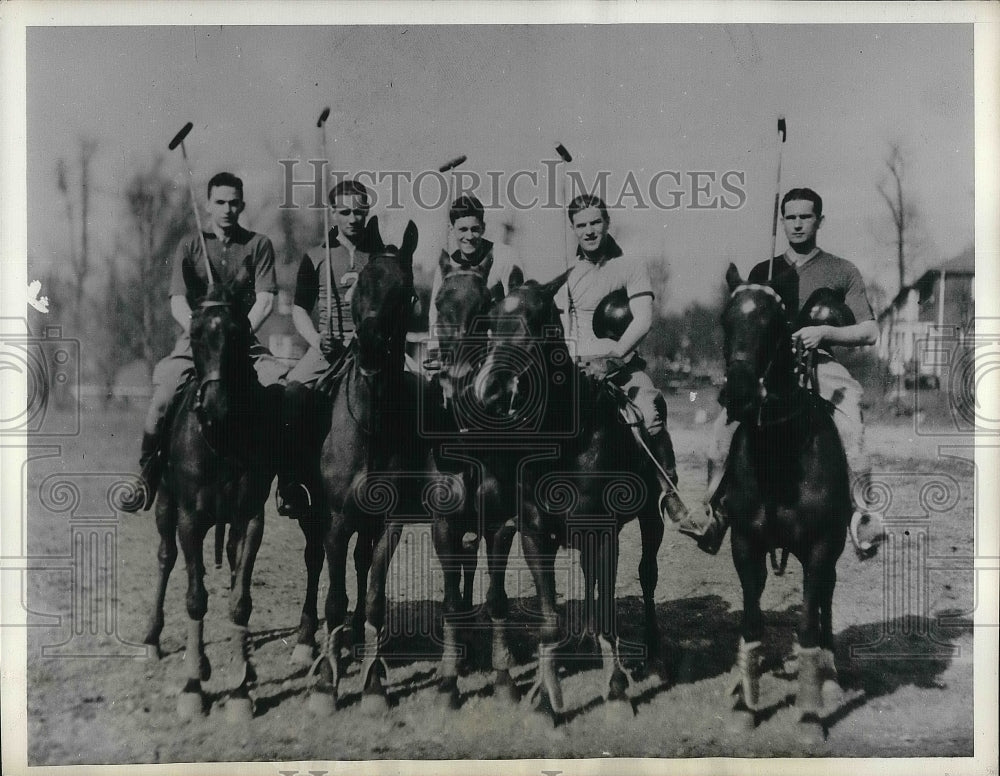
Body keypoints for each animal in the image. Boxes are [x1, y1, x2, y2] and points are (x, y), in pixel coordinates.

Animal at [135, 284, 280, 720]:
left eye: (238, 333)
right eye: (196, 334)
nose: (216, 405)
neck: (221, 438)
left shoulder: (250, 518)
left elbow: (239, 602)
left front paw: (240, 689)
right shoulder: (190, 518)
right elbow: (196, 599)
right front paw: (193, 685)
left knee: (230, 566)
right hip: (165, 506)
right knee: (166, 559)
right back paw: (153, 640)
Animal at [470, 274, 668, 720]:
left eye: (538, 322)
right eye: (491, 321)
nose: (491, 390)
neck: (568, 443)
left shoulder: (604, 532)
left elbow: (611, 609)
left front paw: (616, 691)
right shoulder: (534, 535)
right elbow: (548, 619)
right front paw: (546, 699)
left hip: (652, 516)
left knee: (647, 576)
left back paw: (652, 654)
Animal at [720, 266, 852, 740]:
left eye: (776, 325)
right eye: (725, 320)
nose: (739, 394)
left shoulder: (819, 546)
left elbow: (808, 625)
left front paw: (810, 715)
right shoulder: (745, 543)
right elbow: (751, 621)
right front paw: (745, 706)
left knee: (825, 598)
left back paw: (829, 680)